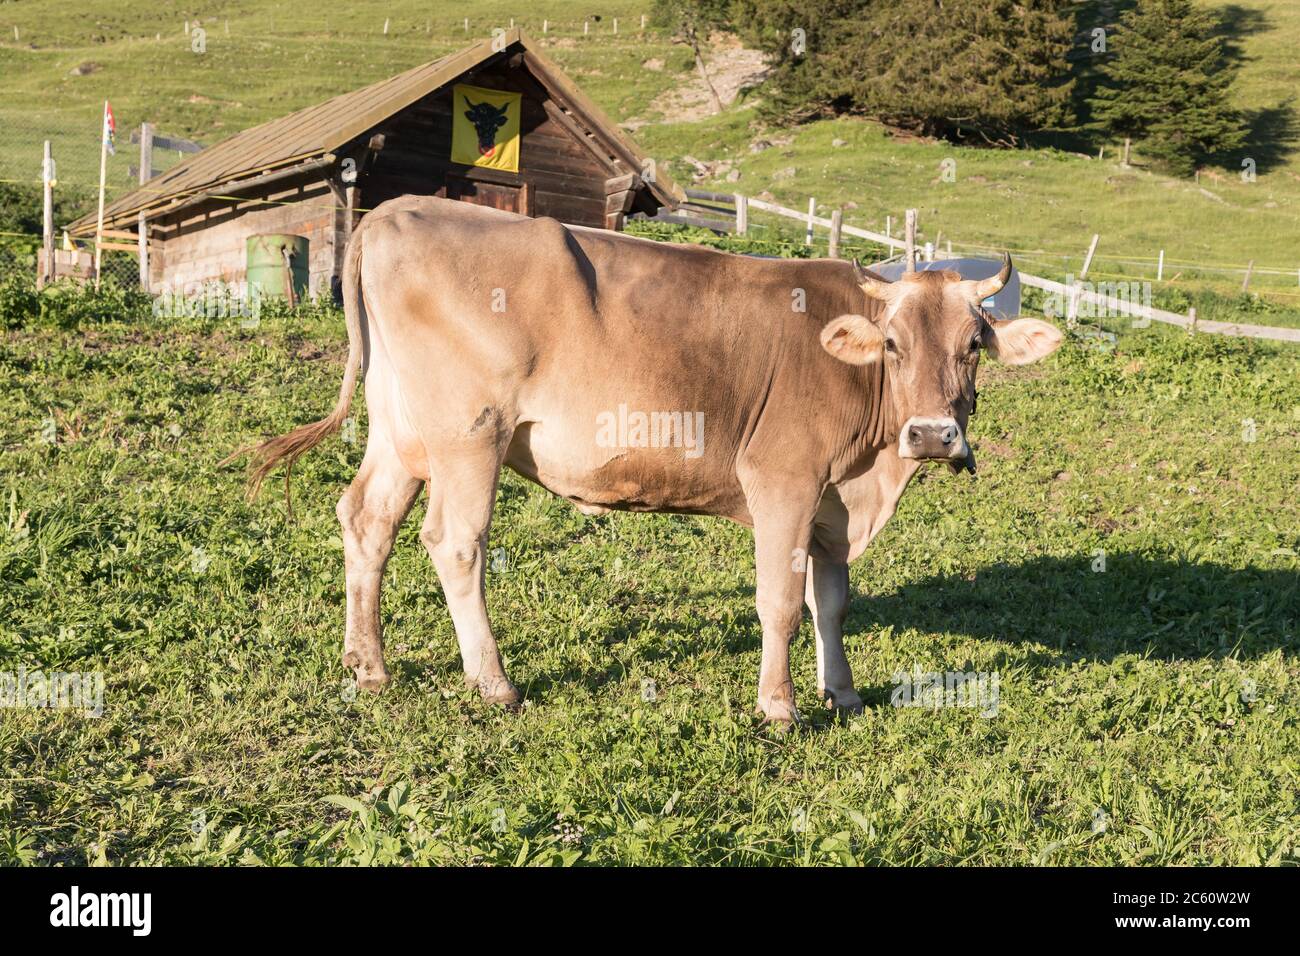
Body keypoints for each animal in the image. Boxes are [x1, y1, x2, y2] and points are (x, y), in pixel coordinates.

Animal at [233, 196, 1061, 726]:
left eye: (974, 344)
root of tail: (395, 209)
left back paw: (369, 666)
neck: (871, 477)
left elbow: (832, 601)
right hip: (470, 433)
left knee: (367, 519)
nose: (932, 436)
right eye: (892, 344)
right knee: (455, 542)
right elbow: (781, 602)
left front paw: (846, 695)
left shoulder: (831, 499)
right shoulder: (784, 480)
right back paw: (494, 683)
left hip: (402, 428)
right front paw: (780, 706)